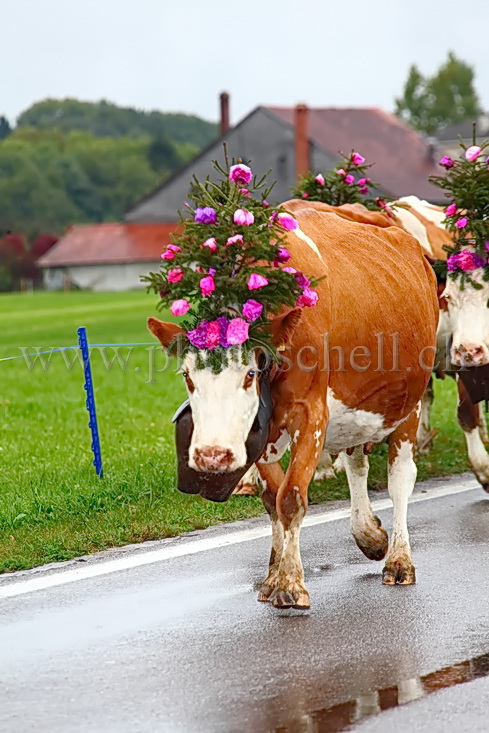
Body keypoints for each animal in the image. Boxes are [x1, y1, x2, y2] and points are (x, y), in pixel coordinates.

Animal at [148, 204, 434, 608]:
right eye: (188, 376)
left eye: (249, 374)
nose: (211, 456)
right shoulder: (262, 430)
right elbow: (272, 498)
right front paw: (273, 576)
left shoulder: (311, 414)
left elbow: (292, 497)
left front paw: (290, 583)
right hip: (358, 409)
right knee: (356, 464)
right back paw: (369, 534)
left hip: (409, 404)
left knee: (400, 480)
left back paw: (398, 558)